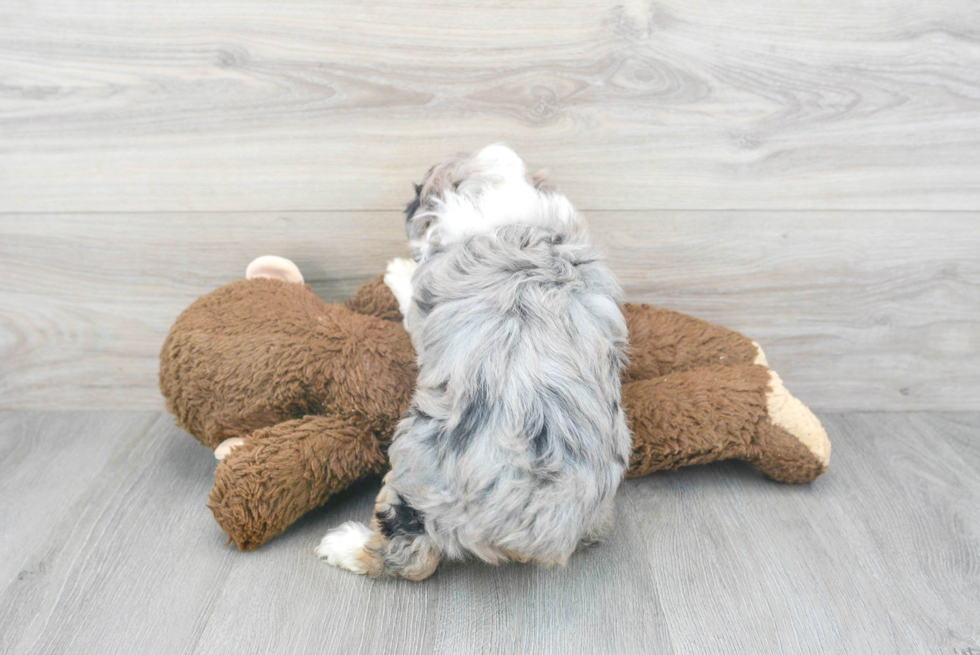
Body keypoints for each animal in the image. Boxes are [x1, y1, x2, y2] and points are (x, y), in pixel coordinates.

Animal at [318, 144, 632, 580]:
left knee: (410, 554)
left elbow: (409, 296)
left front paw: (398, 271)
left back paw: (343, 546)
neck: (507, 211)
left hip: (413, 466)